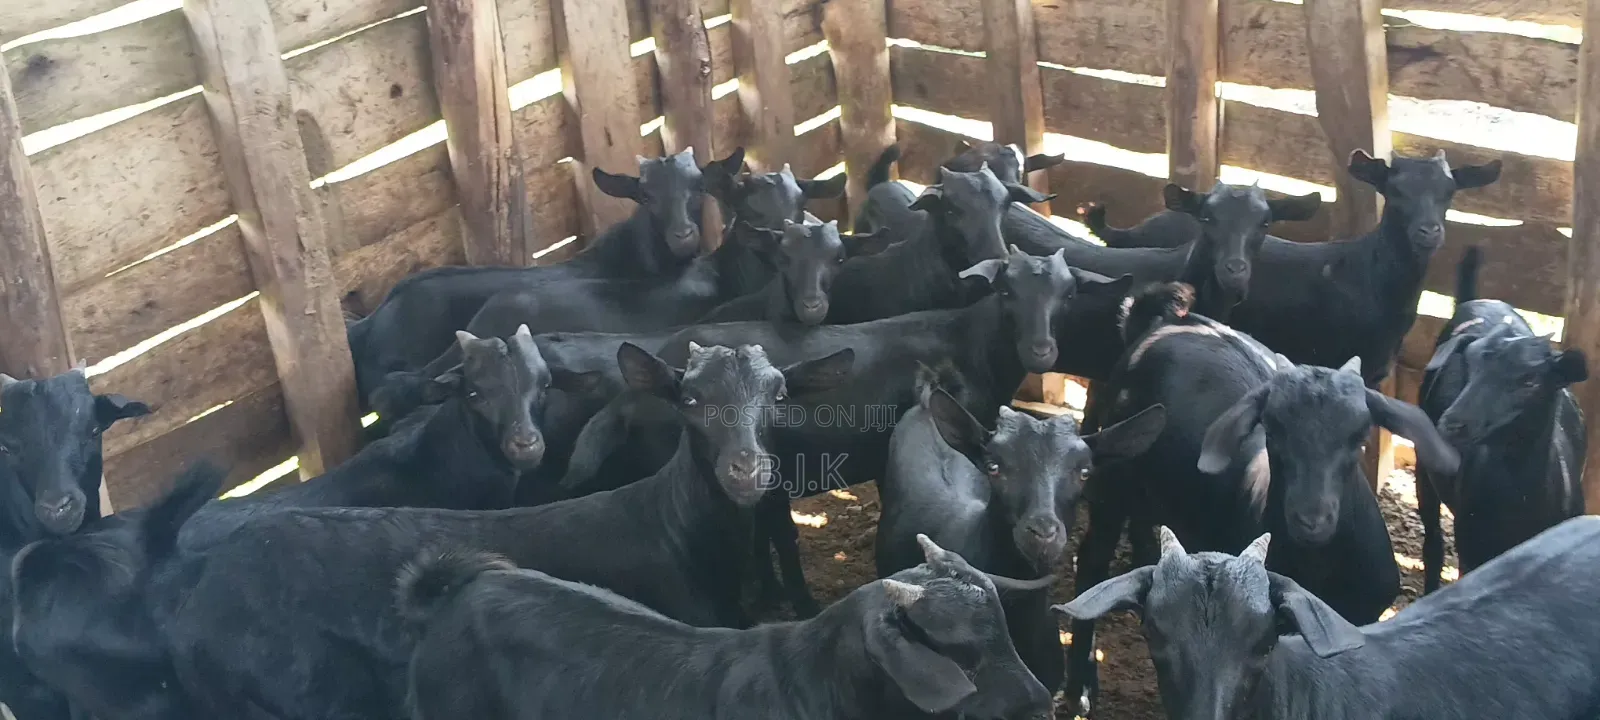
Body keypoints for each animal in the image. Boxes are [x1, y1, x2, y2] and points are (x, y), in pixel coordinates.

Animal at [1061, 281, 1461, 717]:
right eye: (1271, 428)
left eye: (1360, 434)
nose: (1310, 518)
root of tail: (1163, 321)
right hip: (1114, 475)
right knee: (1092, 560)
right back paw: (1080, 685)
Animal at [1416, 246, 1588, 592]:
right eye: (1469, 366)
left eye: (1530, 381)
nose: (1452, 423)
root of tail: (1477, 300)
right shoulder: (1472, 556)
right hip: (1424, 470)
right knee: (1433, 544)